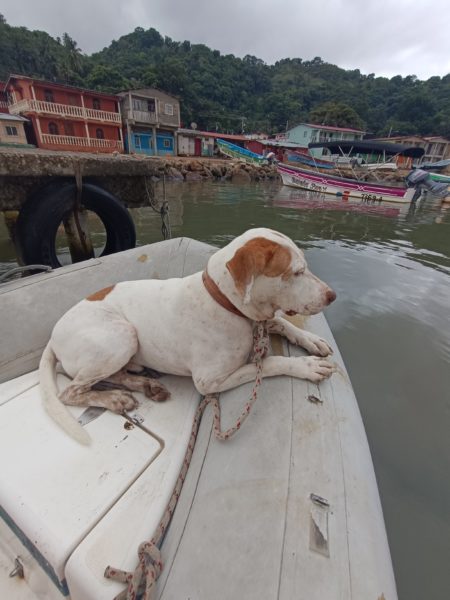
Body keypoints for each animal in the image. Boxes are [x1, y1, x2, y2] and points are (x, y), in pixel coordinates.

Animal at [39, 227, 334, 442]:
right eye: (296, 272)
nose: (332, 296)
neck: (226, 302)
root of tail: (52, 337)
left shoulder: (260, 320)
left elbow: (282, 322)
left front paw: (311, 340)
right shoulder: (209, 381)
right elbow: (271, 363)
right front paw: (306, 366)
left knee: (113, 375)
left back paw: (145, 384)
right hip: (121, 335)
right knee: (71, 391)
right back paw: (113, 398)